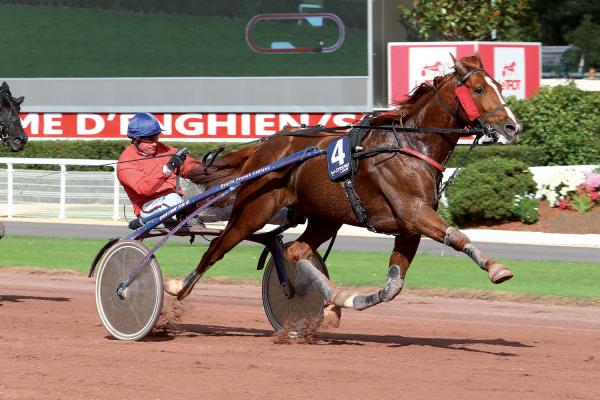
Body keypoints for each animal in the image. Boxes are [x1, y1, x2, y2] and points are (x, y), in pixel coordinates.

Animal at [165, 53, 520, 322]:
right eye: (478, 89)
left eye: (500, 86)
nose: (512, 127)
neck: (409, 146)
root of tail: (266, 145)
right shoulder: (413, 212)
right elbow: (456, 236)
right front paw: (496, 268)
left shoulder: (409, 227)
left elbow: (393, 286)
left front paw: (354, 300)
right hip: (254, 210)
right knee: (217, 246)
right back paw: (177, 286)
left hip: (325, 216)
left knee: (296, 250)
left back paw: (334, 298)